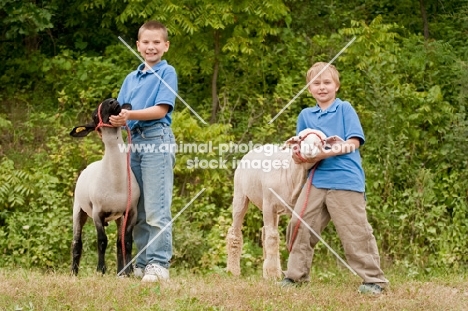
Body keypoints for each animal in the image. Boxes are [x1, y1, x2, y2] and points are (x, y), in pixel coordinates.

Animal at [69, 98, 139, 276]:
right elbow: (101, 241)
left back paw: (120, 272)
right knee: (76, 243)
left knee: (119, 243)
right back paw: (74, 273)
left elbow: (126, 242)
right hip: (78, 209)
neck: (117, 180)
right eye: (95, 116)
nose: (112, 101)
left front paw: (128, 272)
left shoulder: (132, 211)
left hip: (119, 216)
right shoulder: (97, 212)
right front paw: (100, 270)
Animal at [226, 129, 326, 280]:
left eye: (323, 141)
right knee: (235, 232)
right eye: (300, 137)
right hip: (240, 194)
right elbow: (272, 238)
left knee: (265, 232)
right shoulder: (269, 205)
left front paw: (274, 272)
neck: (291, 175)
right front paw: (273, 274)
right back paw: (233, 271)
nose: (310, 149)